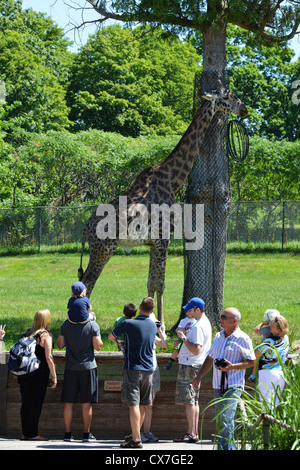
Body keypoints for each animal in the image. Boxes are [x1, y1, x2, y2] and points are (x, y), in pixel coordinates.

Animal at [78, 85, 248, 324]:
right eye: (228, 97)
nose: (245, 109)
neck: (173, 180)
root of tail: (86, 227)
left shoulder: (152, 242)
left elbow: (151, 283)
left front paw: (151, 319)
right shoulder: (164, 238)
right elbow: (160, 284)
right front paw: (162, 326)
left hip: (99, 248)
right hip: (104, 248)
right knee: (87, 281)